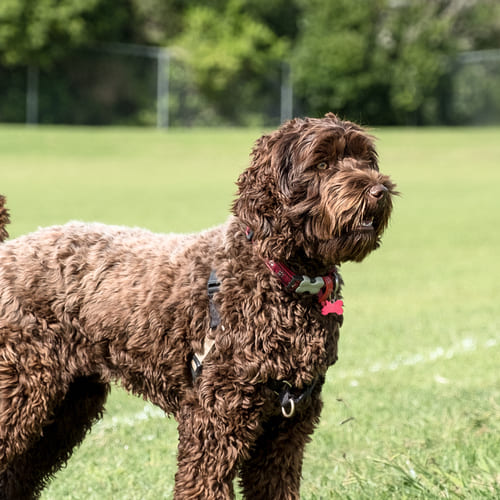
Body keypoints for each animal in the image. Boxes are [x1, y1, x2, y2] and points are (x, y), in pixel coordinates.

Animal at [0, 113, 398, 500]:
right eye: (322, 163)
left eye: (366, 160)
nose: (379, 190)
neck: (281, 277)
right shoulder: (216, 418)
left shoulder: (287, 427)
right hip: (23, 389)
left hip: (68, 405)